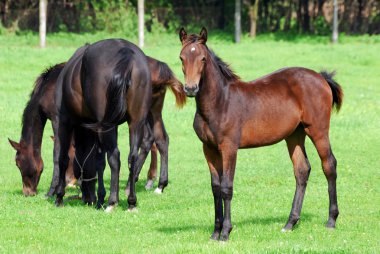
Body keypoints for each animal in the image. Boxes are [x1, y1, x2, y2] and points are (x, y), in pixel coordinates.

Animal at [54, 39, 151, 210]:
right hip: (135, 122)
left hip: (105, 126)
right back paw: (131, 201)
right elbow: (99, 162)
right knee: (132, 157)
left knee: (114, 156)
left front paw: (59, 196)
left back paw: (112, 202)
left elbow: (63, 158)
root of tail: (126, 52)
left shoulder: (64, 121)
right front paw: (100, 198)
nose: (87, 198)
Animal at [180, 27, 342, 240]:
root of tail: (321, 77)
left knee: (329, 165)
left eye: (203, 59)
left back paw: (331, 220)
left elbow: (226, 187)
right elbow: (215, 188)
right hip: (294, 135)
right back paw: (290, 223)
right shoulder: (208, 148)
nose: (191, 88)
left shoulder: (229, 147)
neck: (220, 102)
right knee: (302, 170)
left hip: (318, 130)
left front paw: (225, 232)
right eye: (182, 58)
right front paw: (215, 233)